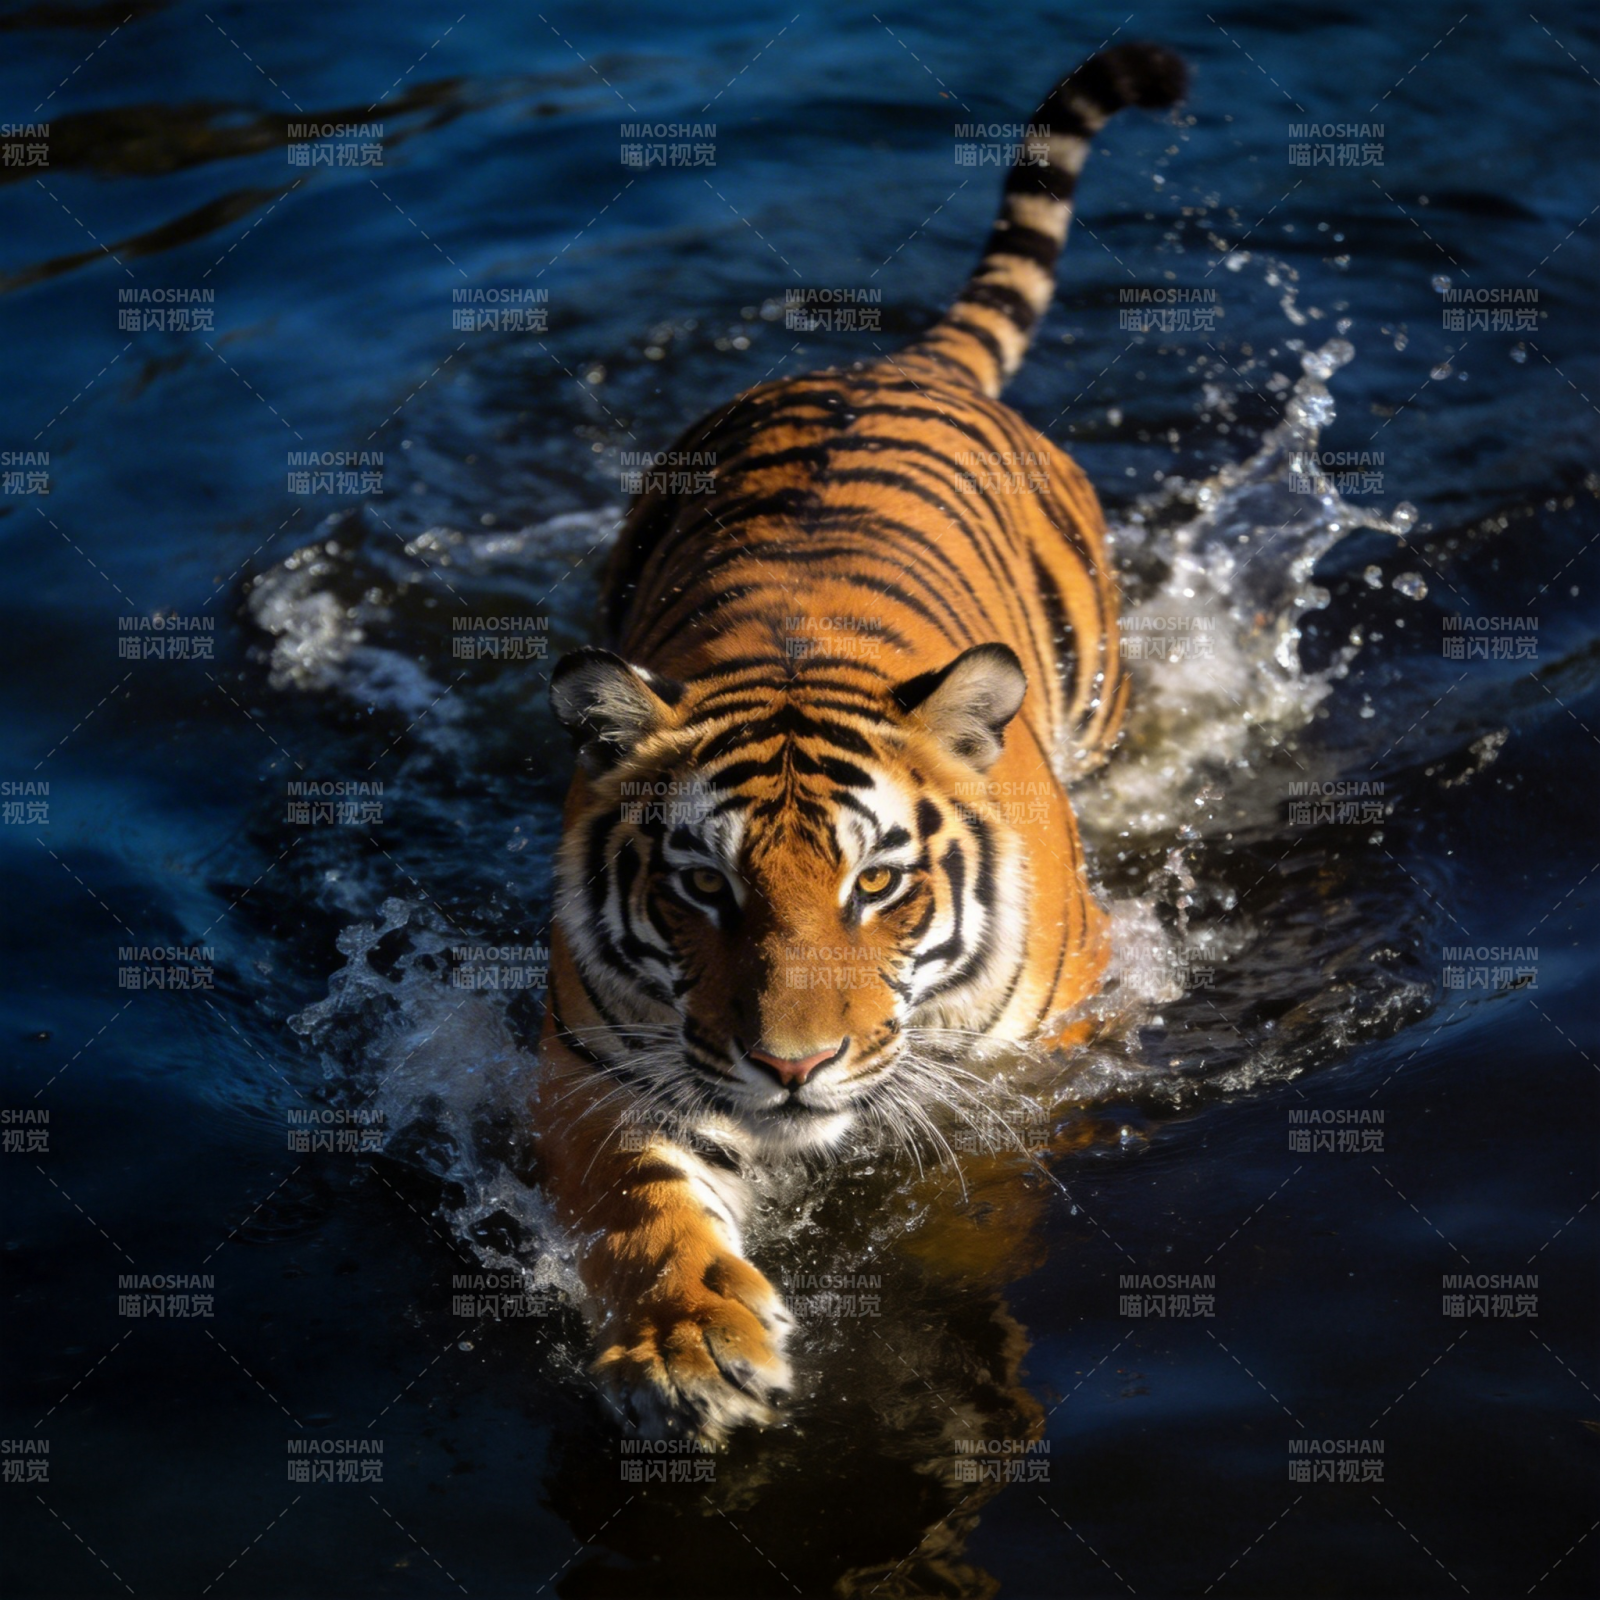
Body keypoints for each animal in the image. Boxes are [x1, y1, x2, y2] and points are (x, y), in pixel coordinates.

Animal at [532, 41, 1188, 1443]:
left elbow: (963, 1204)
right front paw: (688, 1343)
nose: (793, 1065)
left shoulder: (1025, 1073)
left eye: (876, 883)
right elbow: (640, 1207)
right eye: (702, 887)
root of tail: (896, 365)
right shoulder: (596, 1066)